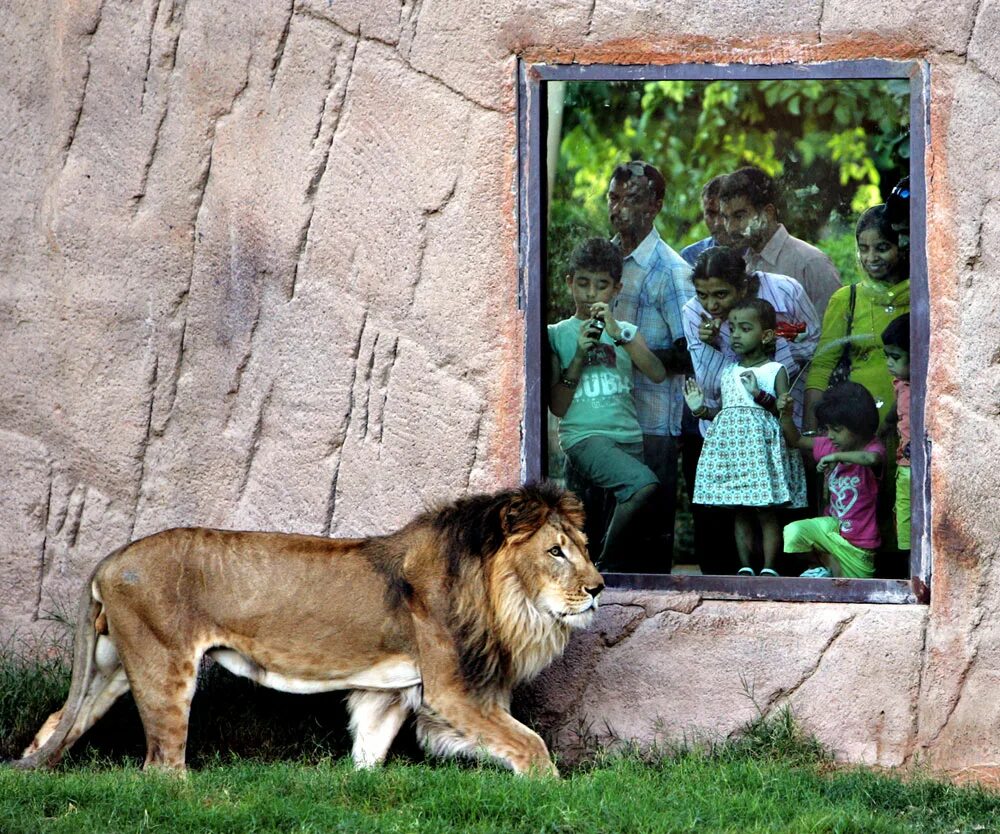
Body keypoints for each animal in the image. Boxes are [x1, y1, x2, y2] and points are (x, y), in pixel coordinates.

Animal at [13, 480, 600, 772]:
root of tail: (111, 558)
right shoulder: (453, 690)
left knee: (58, 722)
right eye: (555, 551)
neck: (505, 600)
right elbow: (532, 747)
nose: (598, 589)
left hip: (114, 664)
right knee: (160, 766)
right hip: (164, 669)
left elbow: (368, 756)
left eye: (585, 548)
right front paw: (554, 795)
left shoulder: (390, 693)